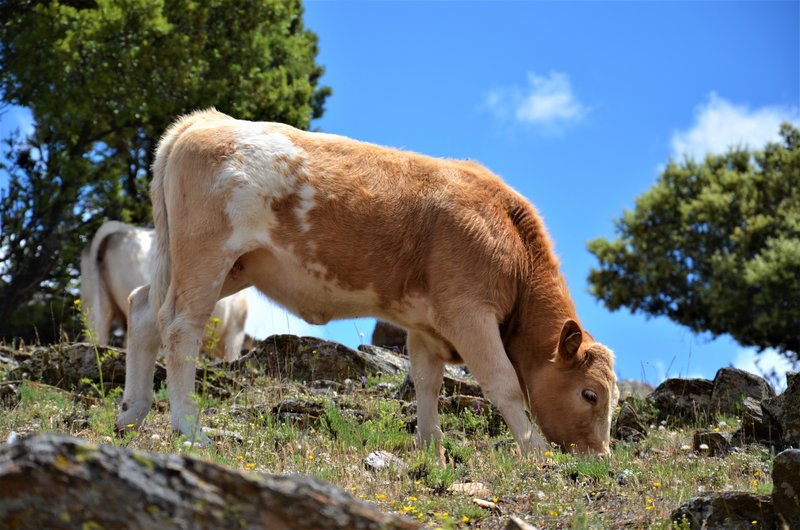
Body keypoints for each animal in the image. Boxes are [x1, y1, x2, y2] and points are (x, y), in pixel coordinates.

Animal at [117, 109, 620, 452]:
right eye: (590, 394)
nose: (600, 457)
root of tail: (206, 121)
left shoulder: (426, 327)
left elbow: (427, 386)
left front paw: (432, 454)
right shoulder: (468, 314)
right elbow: (504, 383)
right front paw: (536, 453)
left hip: (222, 265)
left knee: (142, 310)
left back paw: (131, 414)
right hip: (206, 256)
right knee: (180, 328)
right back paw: (188, 429)